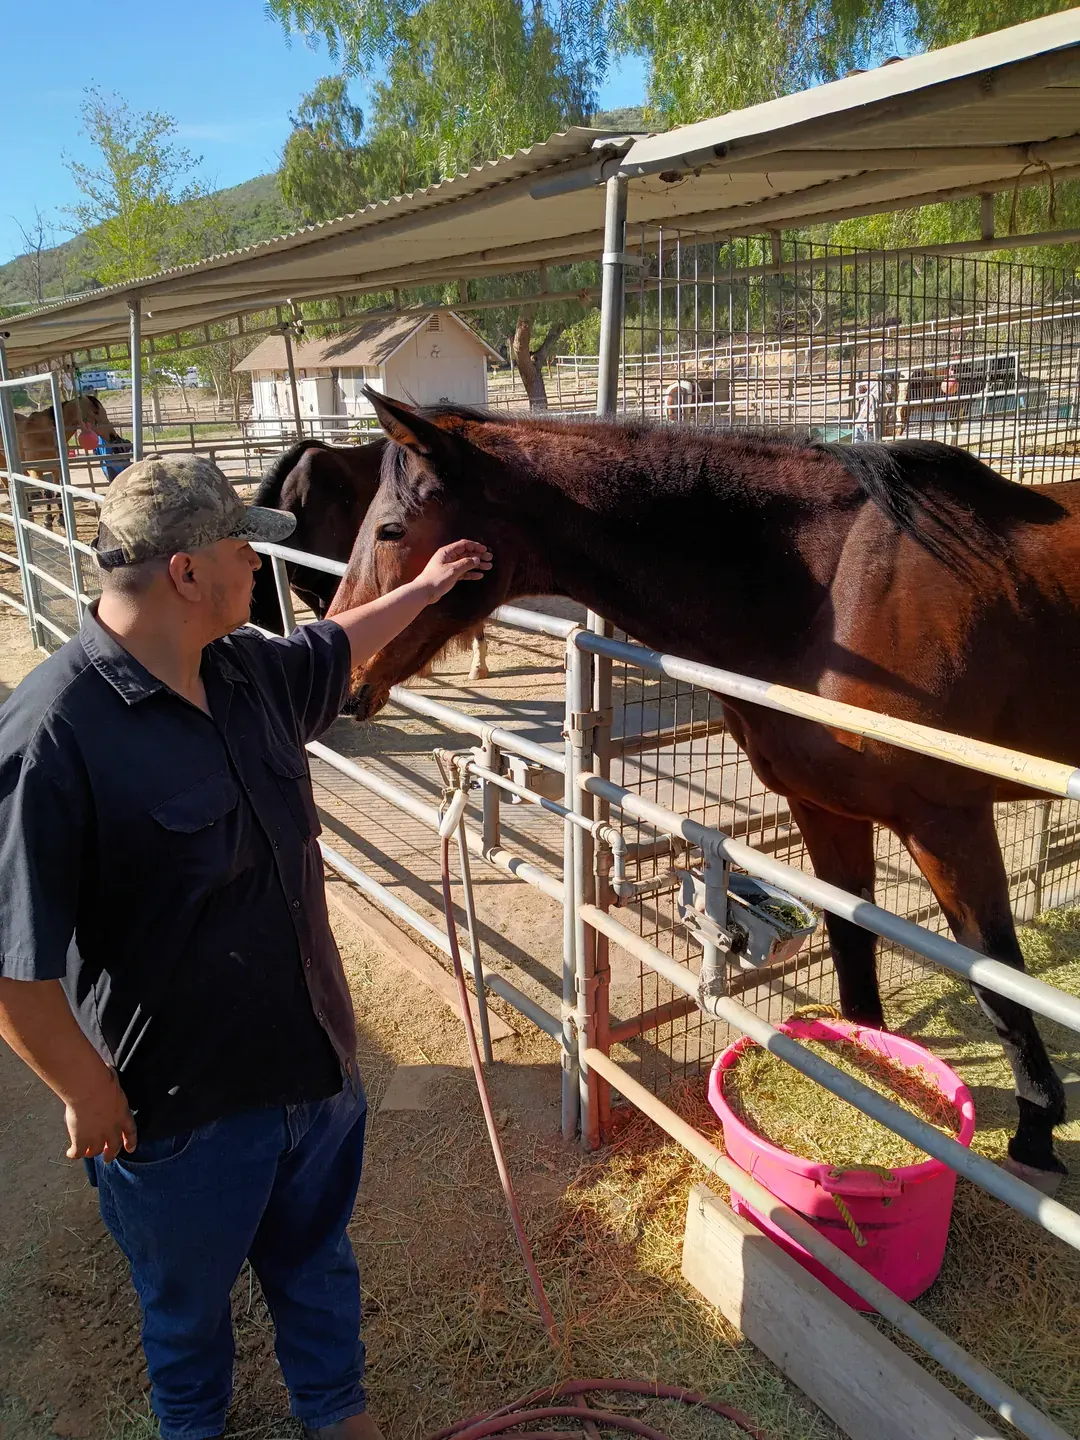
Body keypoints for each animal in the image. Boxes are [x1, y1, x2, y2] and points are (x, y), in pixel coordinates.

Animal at [329, 388, 1080, 1192]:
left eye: (391, 528)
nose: (346, 678)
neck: (826, 594)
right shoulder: (825, 811)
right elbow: (853, 943)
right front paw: (867, 1079)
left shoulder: (948, 821)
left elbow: (996, 972)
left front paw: (1036, 1134)